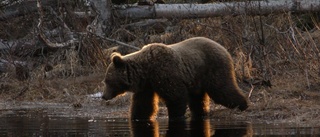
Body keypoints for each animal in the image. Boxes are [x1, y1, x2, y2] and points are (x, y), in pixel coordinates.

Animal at [102, 36, 248, 120]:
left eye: (108, 81)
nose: (103, 96)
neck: (145, 71)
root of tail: (223, 48)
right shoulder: (146, 86)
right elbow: (143, 104)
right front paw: (137, 117)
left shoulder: (165, 72)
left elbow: (175, 96)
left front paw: (175, 115)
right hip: (196, 77)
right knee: (198, 98)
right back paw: (200, 112)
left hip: (212, 67)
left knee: (222, 89)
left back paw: (243, 104)